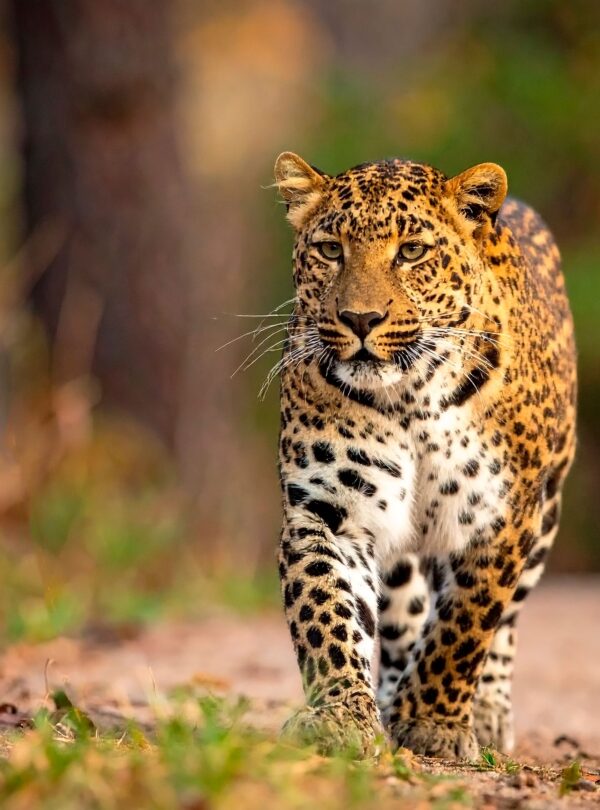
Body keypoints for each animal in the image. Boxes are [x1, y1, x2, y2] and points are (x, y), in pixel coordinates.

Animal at [273, 151, 576, 760]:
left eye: (411, 252)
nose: (360, 319)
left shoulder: (501, 517)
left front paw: (433, 723)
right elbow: (326, 611)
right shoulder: (328, 511)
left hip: (546, 515)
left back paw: (486, 715)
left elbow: (466, 626)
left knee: (505, 626)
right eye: (330, 250)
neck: (410, 396)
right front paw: (342, 716)